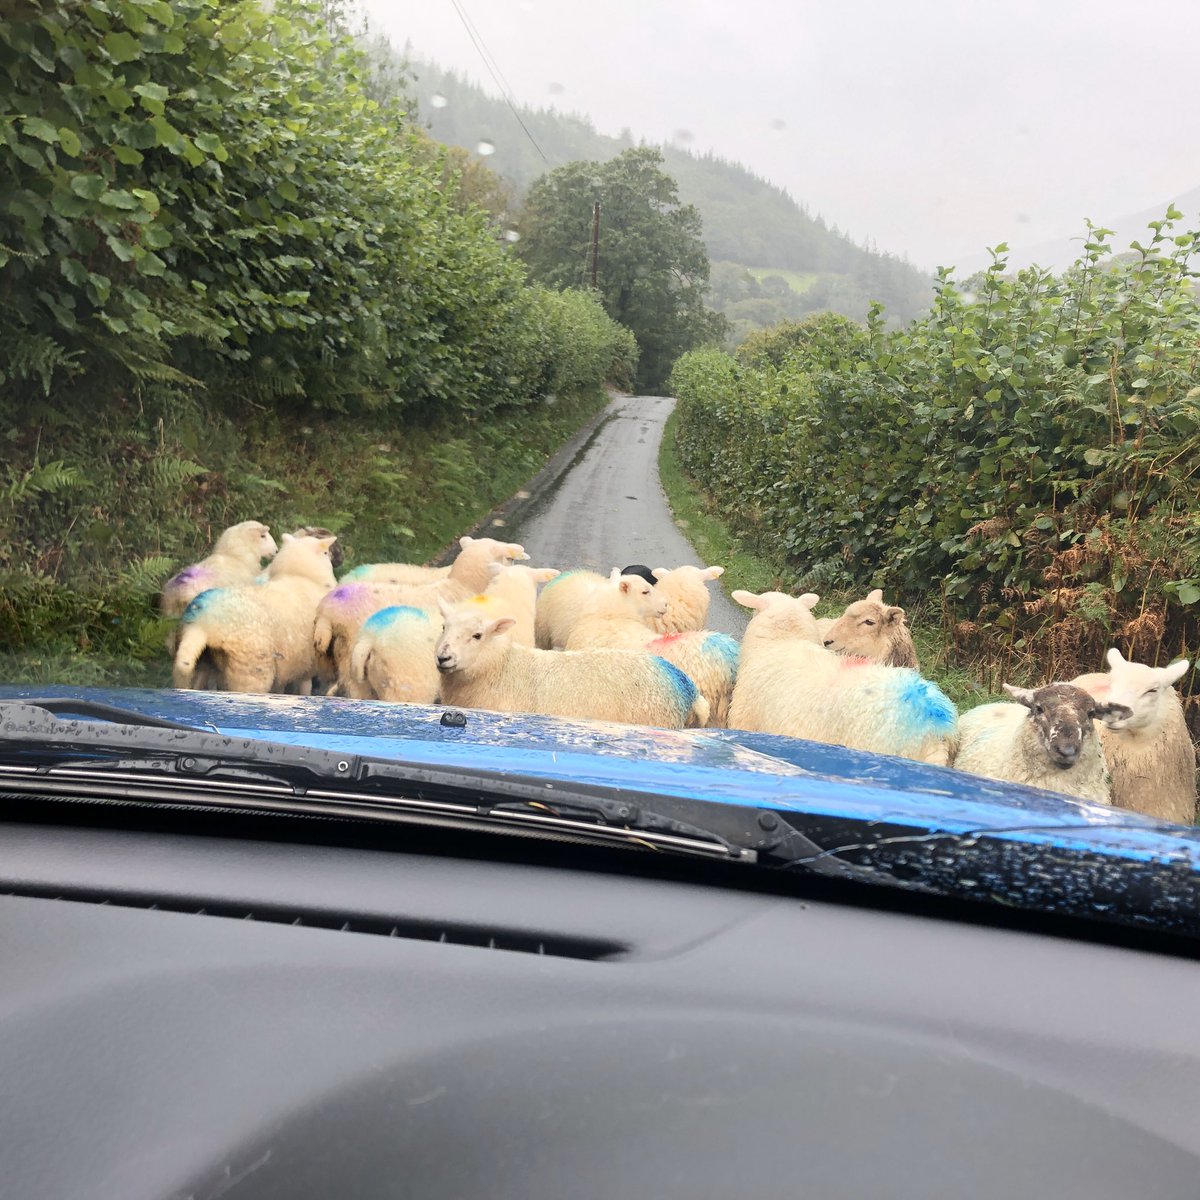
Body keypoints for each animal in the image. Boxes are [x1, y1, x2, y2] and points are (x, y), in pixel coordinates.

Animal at [172, 533, 336, 694]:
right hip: (251, 669)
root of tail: (202, 624)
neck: (300, 576)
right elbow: (305, 687)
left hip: (200, 665)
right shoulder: (307, 663)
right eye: (325, 553)